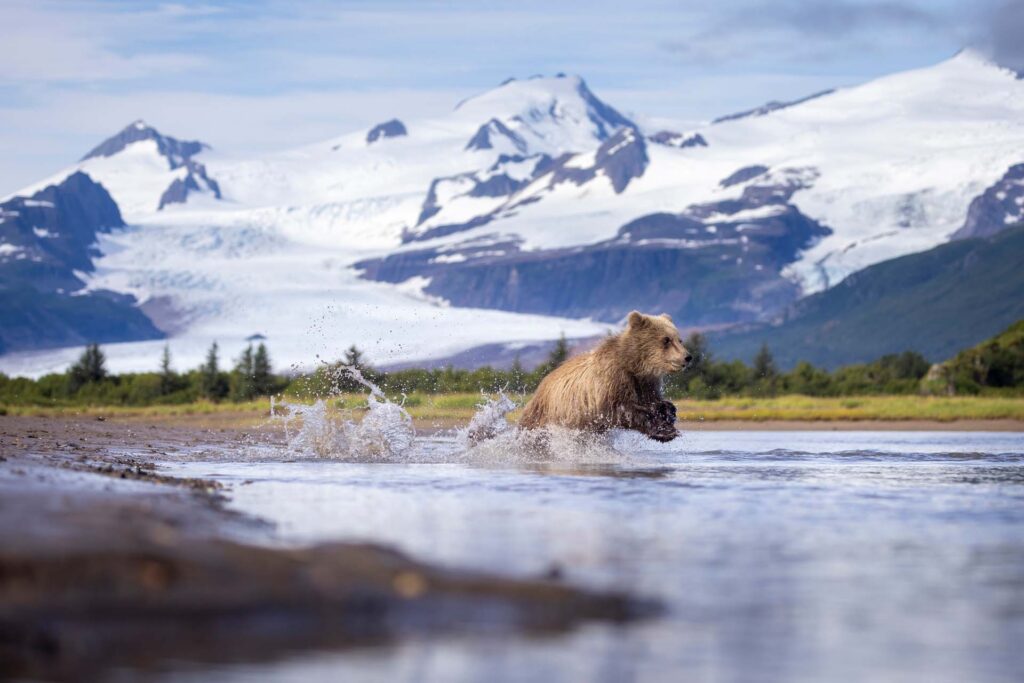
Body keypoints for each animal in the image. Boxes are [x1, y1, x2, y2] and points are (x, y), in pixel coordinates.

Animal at [519, 311, 691, 442]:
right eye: (666, 340)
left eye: (679, 339)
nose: (687, 357)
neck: (634, 366)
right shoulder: (611, 382)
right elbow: (623, 410)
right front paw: (664, 431)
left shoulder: (647, 384)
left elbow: (655, 401)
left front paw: (667, 414)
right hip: (542, 419)